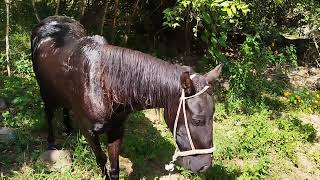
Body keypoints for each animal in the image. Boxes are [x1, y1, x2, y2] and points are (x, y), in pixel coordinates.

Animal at [31, 16, 222, 179]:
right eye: (197, 120)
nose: (205, 166)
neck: (102, 85)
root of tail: (50, 20)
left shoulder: (117, 129)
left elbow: (114, 167)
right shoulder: (88, 131)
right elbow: (101, 160)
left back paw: (68, 128)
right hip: (45, 92)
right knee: (48, 113)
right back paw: (51, 143)